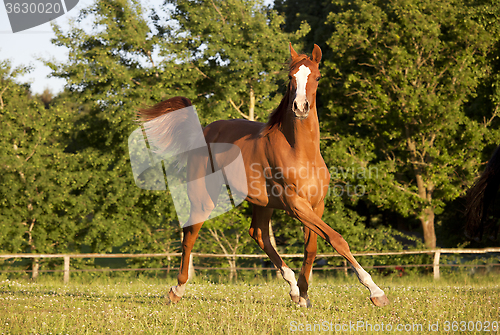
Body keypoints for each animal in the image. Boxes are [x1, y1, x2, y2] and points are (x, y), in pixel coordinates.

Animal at [138, 43, 390, 308]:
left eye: (318, 77)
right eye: (290, 77)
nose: (300, 107)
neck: (301, 153)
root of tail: (203, 131)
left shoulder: (316, 205)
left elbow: (311, 247)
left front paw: (304, 295)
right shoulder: (296, 205)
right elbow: (337, 239)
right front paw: (376, 292)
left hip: (262, 203)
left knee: (258, 234)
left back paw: (292, 288)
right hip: (203, 197)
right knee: (191, 234)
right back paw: (176, 290)